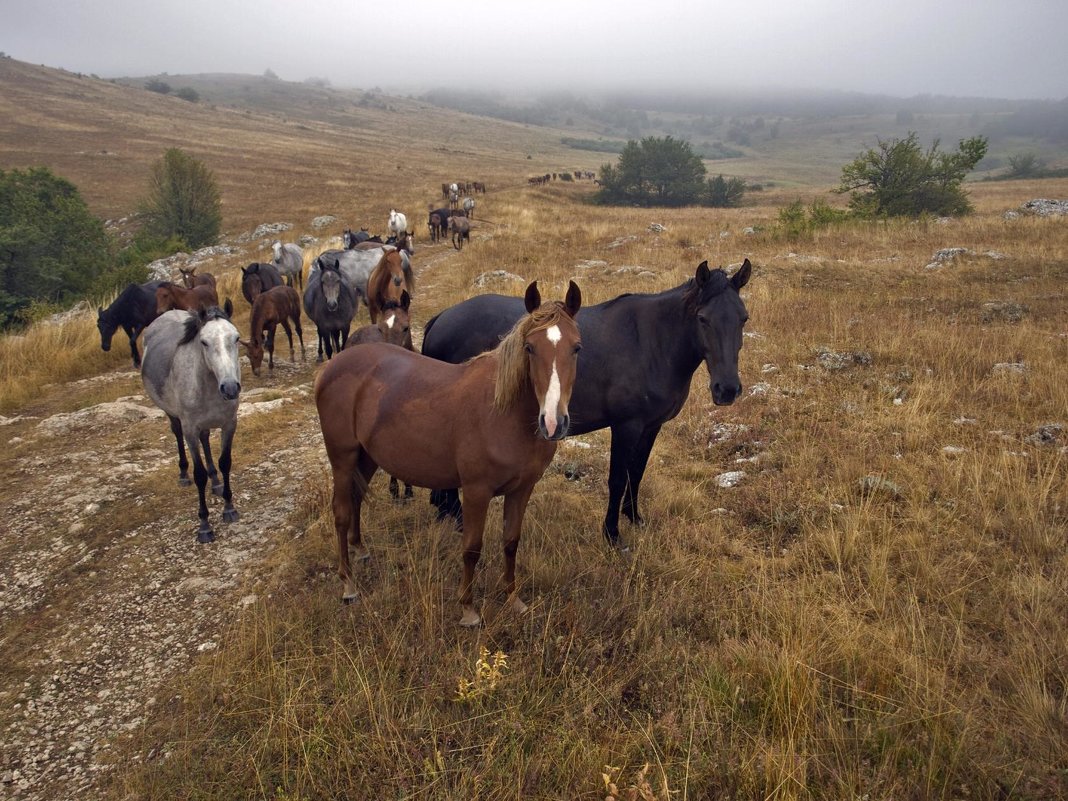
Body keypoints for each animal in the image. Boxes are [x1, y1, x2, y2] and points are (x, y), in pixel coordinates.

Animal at [140, 303, 241, 546]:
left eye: (236, 338)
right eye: (204, 342)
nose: (230, 387)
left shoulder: (229, 423)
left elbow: (225, 463)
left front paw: (229, 507)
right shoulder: (190, 430)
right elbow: (199, 475)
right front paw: (204, 525)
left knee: (206, 440)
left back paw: (216, 482)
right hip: (173, 416)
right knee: (176, 434)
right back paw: (183, 474)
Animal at [316, 279, 585, 627]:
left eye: (576, 348)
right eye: (529, 348)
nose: (553, 422)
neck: (503, 412)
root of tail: (332, 366)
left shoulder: (522, 489)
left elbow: (511, 542)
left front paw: (513, 599)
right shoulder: (475, 491)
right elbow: (471, 548)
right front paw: (468, 609)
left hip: (367, 456)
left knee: (355, 499)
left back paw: (360, 550)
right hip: (342, 456)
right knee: (341, 511)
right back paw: (348, 584)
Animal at [420, 260, 756, 551]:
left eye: (743, 318)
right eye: (702, 318)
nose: (727, 389)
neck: (651, 344)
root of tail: (442, 318)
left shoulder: (651, 426)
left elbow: (637, 472)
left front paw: (634, 518)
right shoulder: (626, 426)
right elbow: (618, 478)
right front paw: (612, 534)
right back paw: (457, 519)